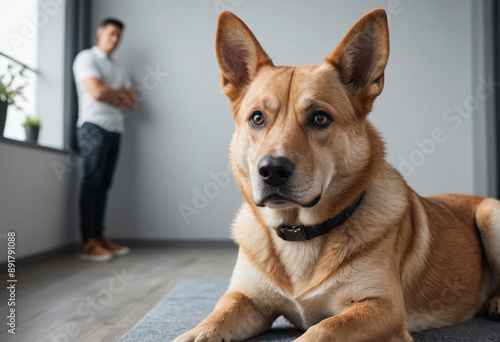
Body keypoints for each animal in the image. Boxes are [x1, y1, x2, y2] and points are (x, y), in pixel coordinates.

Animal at [173, 8, 500, 342]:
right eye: (257, 118)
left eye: (320, 118)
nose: (272, 170)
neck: (300, 234)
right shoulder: (245, 299)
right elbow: (213, 319)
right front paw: (194, 333)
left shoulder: (381, 308)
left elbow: (322, 330)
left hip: (490, 214)